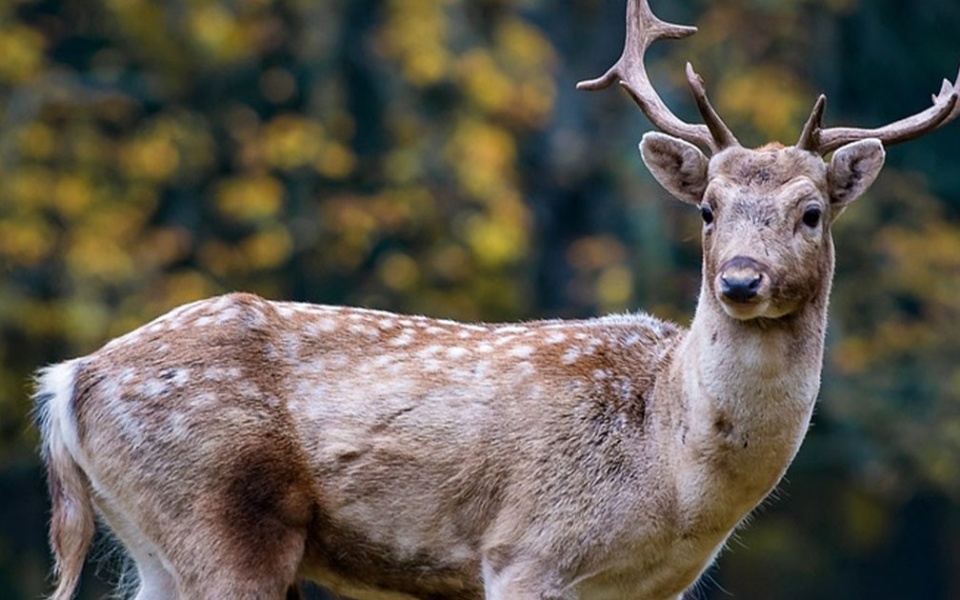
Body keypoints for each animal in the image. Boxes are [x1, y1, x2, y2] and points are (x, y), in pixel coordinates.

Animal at [31, 1, 960, 600]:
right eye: (707, 208)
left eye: (811, 211)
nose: (739, 280)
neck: (671, 470)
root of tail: (68, 379)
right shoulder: (526, 551)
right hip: (224, 518)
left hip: (158, 544)